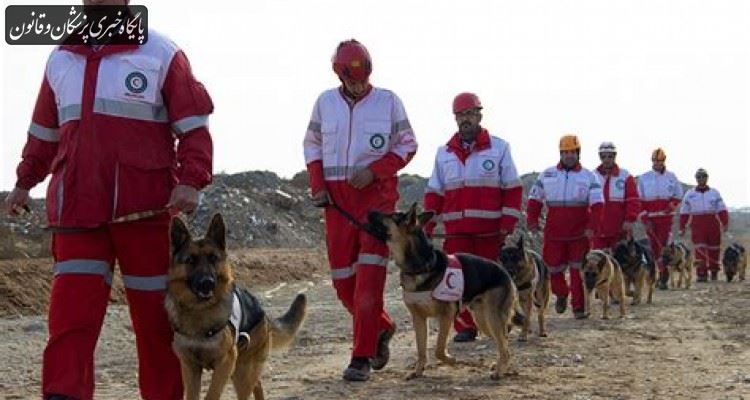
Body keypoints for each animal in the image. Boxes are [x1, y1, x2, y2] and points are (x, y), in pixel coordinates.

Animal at [167, 216, 308, 400]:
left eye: (213, 258)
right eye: (190, 260)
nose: (207, 283)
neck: (200, 311)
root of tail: (263, 314)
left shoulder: (225, 362)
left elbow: (211, 395)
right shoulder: (190, 367)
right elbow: (192, 395)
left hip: (241, 372)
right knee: (258, 384)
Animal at [368, 203, 524, 382]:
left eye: (393, 216)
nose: (370, 212)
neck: (421, 265)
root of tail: (505, 271)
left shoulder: (446, 316)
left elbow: (438, 350)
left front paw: (451, 360)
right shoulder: (418, 318)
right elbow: (421, 349)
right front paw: (418, 371)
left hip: (492, 319)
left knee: (504, 346)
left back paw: (499, 371)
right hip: (483, 321)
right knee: (504, 344)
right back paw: (500, 366)